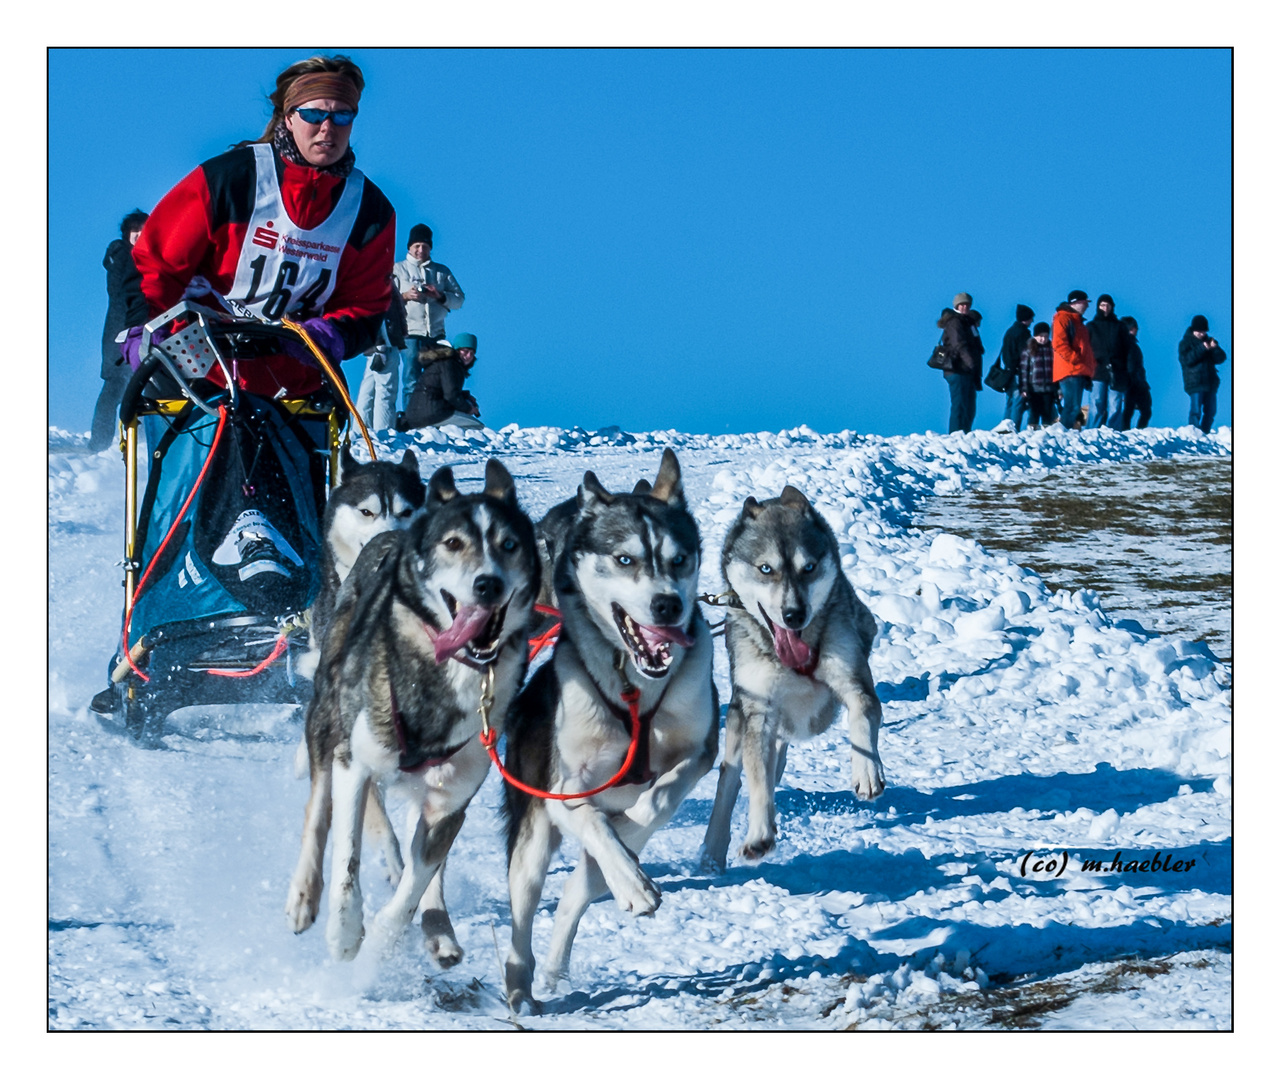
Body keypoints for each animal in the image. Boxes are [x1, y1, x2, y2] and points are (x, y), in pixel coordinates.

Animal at [284, 461, 535, 968]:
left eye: (509, 545)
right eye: (453, 543)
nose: (489, 584)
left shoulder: (450, 803)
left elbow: (415, 886)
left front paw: (391, 937)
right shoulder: (354, 763)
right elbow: (347, 854)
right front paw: (344, 932)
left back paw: (438, 927)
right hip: (326, 717)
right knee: (318, 810)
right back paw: (303, 894)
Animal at [502, 448, 722, 1014]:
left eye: (679, 559)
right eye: (625, 560)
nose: (667, 604)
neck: (633, 689)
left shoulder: (699, 751)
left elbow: (660, 796)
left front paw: (632, 831)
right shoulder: (564, 789)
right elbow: (595, 822)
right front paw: (632, 877)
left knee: (577, 891)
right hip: (530, 842)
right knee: (523, 914)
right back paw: (521, 987)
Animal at [696, 486, 886, 876]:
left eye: (808, 568)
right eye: (766, 569)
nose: (793, 614)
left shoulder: (854, 679)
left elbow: (862, 714)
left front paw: (866, 771)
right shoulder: (758, 710)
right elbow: (757, 782)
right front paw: (758, 834)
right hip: (739, 719)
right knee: (732, 779)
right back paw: (714, 849)